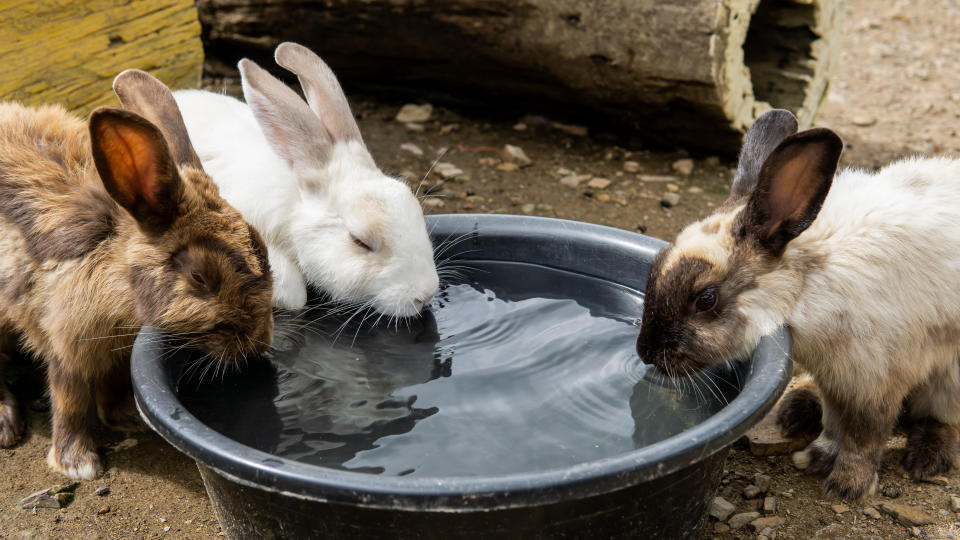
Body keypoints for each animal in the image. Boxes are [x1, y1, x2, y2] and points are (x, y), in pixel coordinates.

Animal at [0, 69, 274, 478]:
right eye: (200, 277)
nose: (259, 342)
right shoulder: (67, 342)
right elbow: (69, 400)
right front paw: (77, 464)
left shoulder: (117, 351)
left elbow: (114, 383)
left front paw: (128, 417)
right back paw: (5, 423)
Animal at [636, 107, 960, 500]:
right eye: (655, 265)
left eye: (706, 299)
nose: (645, 352)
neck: (806, 284)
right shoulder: (835, 380)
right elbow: (835, 423)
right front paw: (817, 458)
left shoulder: (876, 381)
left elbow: (864, 437)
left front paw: (847, 486)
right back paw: (797, 409)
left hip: (950, 379)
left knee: (942, 419)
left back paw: (927, 459)